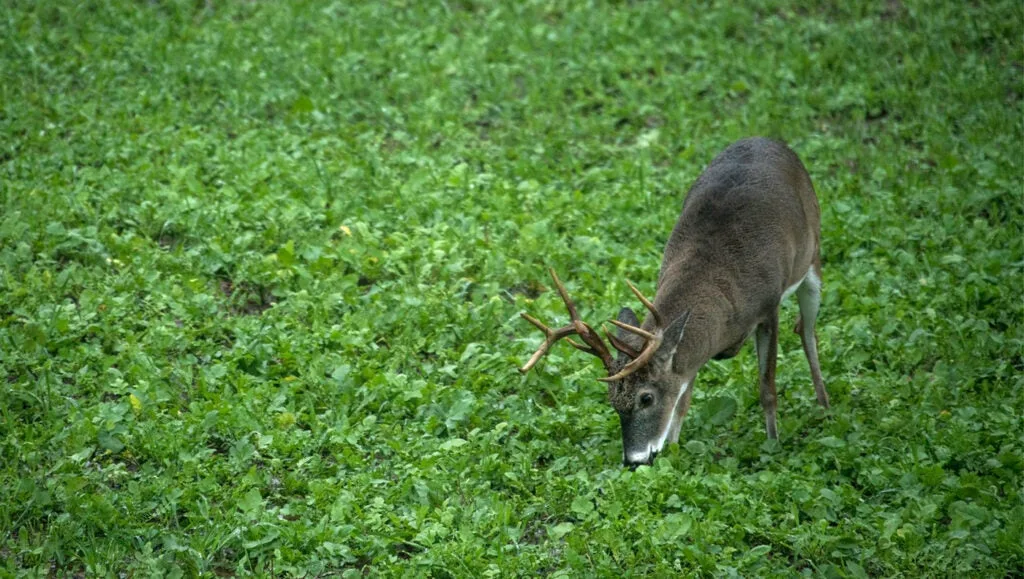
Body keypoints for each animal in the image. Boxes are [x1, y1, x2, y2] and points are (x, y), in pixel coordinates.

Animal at [520, 137, 831, 467]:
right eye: (613, 401)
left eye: (646, 397)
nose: (634, 461)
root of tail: (769, 140)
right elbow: (683, 398)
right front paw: (673, 449)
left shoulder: (769, 307)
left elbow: (767, 387)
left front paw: (773, 443)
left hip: (813, 258)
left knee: (807, 330)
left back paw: (825, 407)